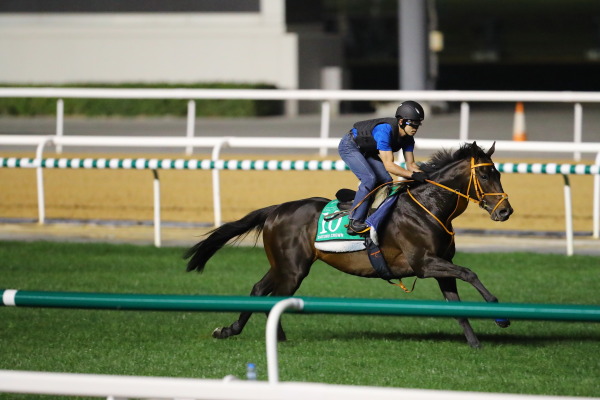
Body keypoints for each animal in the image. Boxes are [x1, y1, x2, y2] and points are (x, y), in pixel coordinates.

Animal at [185, 141, 512, 346]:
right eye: (485, 174)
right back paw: (273, 337)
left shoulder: (441, 265)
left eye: (498, 172)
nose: (505, 211)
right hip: (292, 269)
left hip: (284, 265)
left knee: (257, 290)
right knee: (273, 296)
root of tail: (276, 209)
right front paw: (500, 315)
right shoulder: (424, 263)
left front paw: (475, 343)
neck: (429, 207)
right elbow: (470, 272)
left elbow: (457, 305)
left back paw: (231, 330)